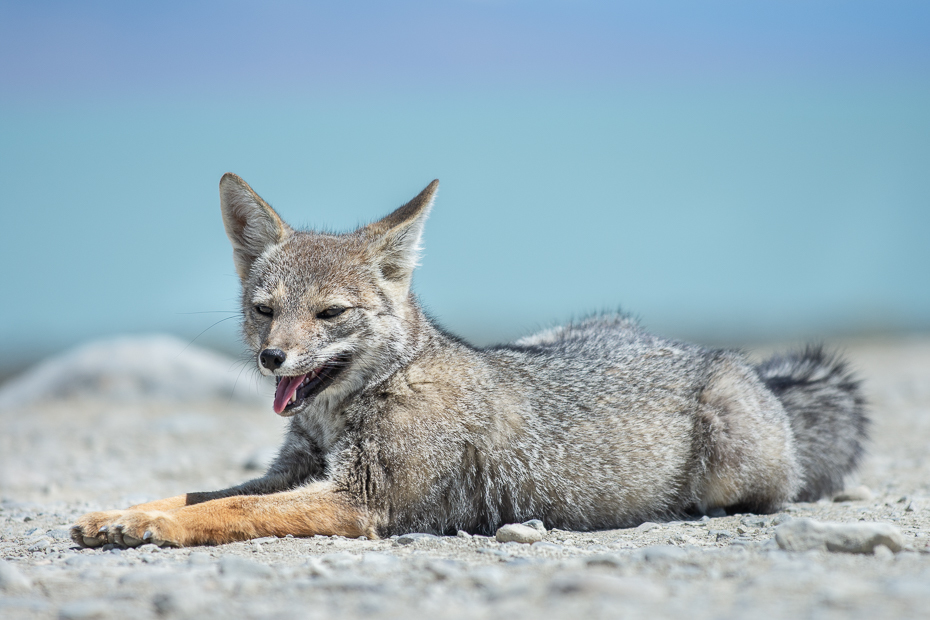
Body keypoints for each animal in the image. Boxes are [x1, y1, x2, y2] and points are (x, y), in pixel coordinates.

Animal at [70, 173, 864, 548]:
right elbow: (198, 492)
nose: (272, 359)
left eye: (330, 314)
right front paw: (123, 514)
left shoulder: (360, 499)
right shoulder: (293, 475)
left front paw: (156, 528)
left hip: (731, 460)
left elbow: (227, 509)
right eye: (265, 309)